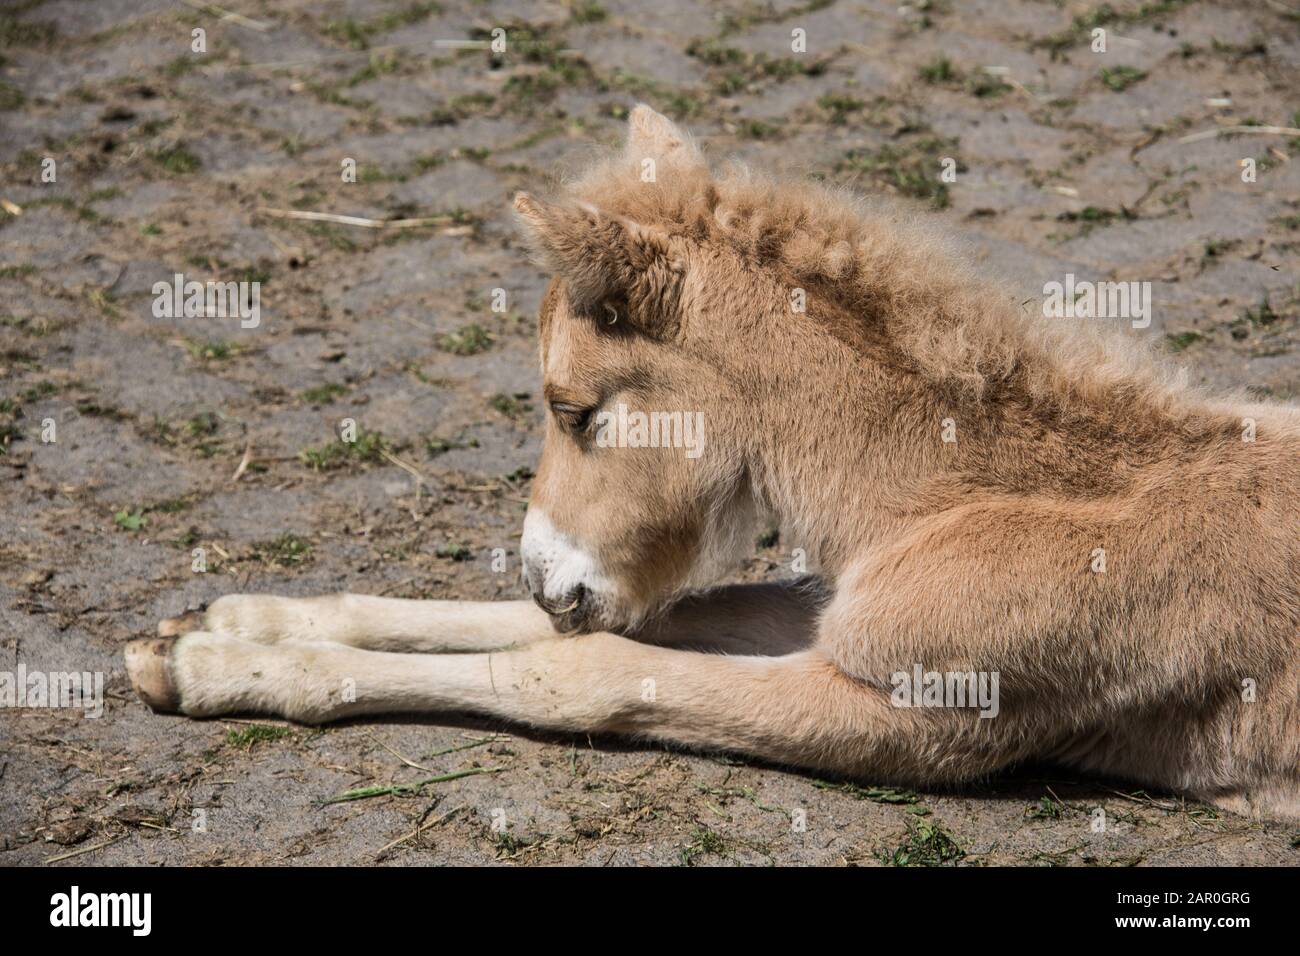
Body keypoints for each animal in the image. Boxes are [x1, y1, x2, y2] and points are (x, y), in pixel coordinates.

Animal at [124, 106, 1300, 822]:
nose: (546, 576)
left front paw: (228, 666)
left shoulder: (925, 715)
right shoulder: (838, 614)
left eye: (573, 407)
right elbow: (628, 624)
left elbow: (585, 672)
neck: (959, 502)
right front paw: (221, 632)